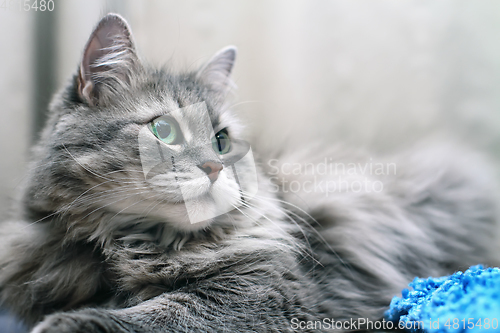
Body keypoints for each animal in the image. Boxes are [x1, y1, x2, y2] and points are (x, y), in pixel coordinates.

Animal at [0, 13, 500, 332]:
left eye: (222, 141)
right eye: (164, 130)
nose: (214, 167)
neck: (131, 239)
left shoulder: (260, 293)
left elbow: (163, 313)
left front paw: (71, 323)